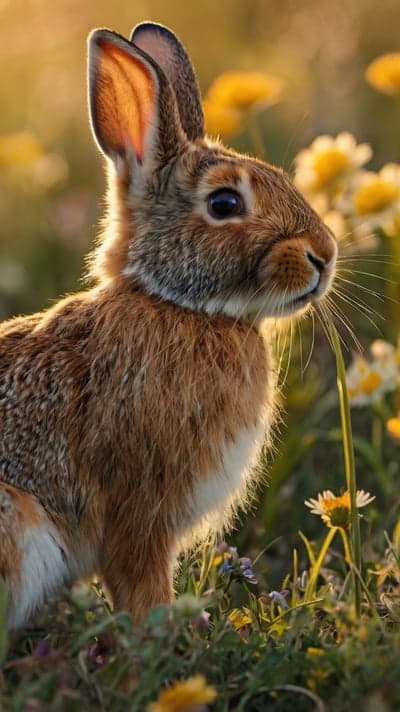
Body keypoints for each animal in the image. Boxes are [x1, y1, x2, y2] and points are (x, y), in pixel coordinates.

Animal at [0, 22, 337, 631]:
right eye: (224, 203)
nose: (325, 255)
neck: (179, 305)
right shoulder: (142, 509)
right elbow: (142, 585)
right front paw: (168, 631)